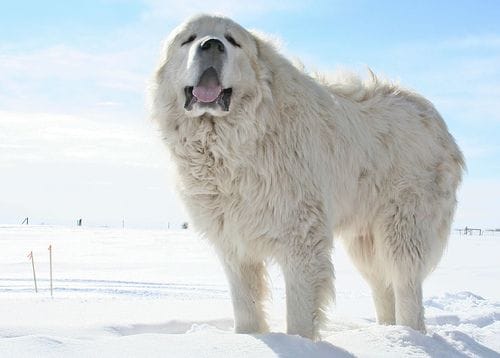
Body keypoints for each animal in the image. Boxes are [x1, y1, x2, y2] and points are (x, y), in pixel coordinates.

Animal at [148, 13, 464, 338]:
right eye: (188, 39)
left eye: (232, 40)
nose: (211, 45)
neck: (233, 142)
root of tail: (433, 115)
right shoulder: (235, 244)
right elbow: (246, 307)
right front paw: (249, 339)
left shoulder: (301, 237)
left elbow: (299, 313)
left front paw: (299, 342)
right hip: (365, 240)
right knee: (382, 284)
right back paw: (388, 335)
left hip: (402, 227)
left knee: (405, 283)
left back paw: (408, 336)